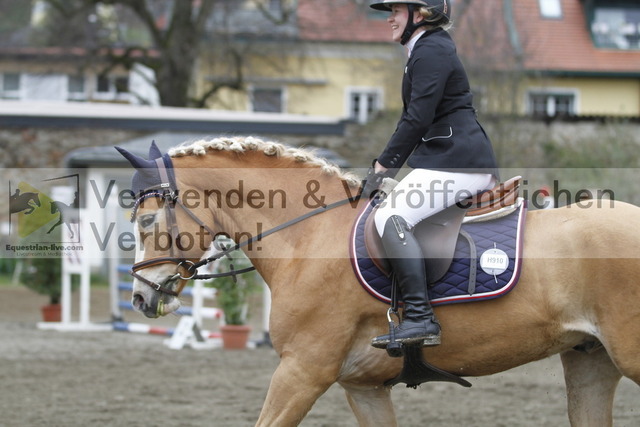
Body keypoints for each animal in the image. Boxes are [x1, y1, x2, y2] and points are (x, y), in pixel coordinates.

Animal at [118, 137, 640, 426]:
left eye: (145, 221)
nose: (140, 298)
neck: (309, 235)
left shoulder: (302, 371)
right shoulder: (363, 387)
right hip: (589, 360)